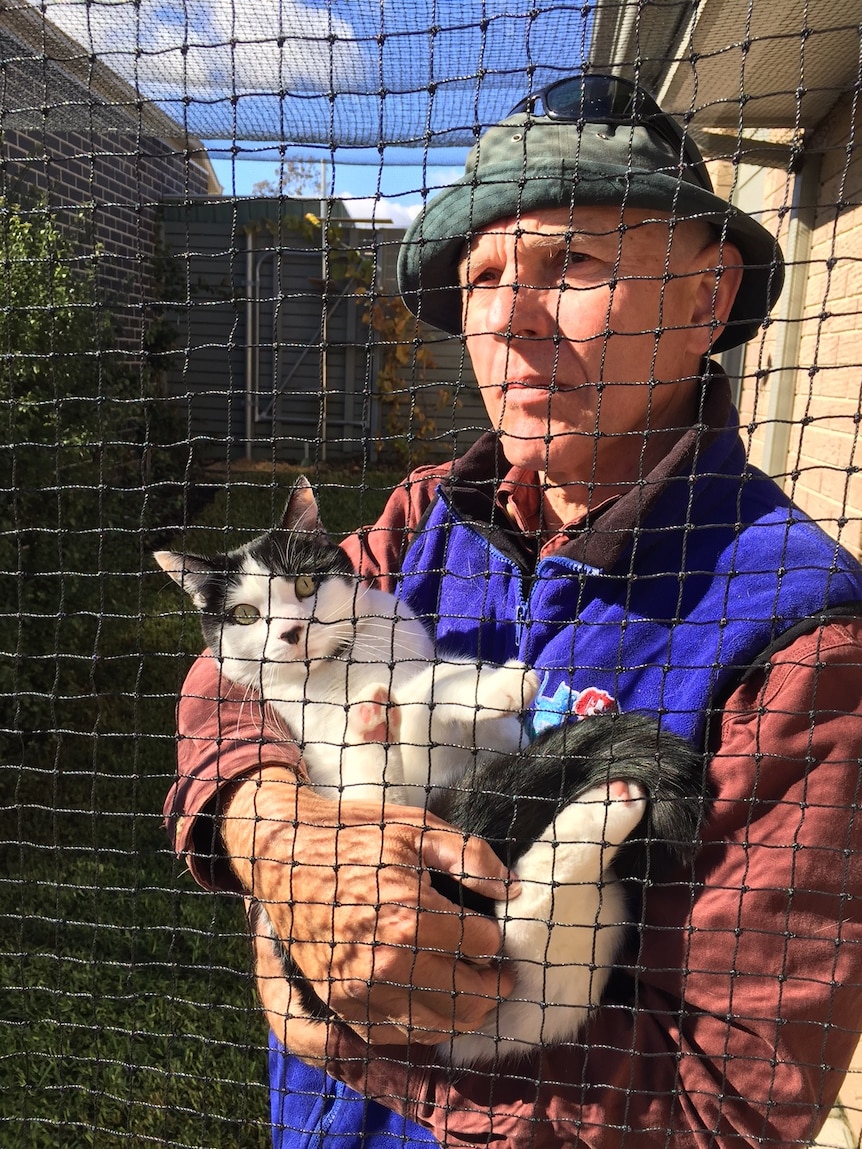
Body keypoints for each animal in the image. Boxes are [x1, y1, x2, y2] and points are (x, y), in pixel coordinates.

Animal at [157, 475, 707, 1066]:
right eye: (244, 615)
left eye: (304, 584)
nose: (291, 631)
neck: (344, 672)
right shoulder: (341, 763)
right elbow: (416, 708)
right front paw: (475, 689)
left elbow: (445, 701)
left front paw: (480, 691)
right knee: (521, 911)